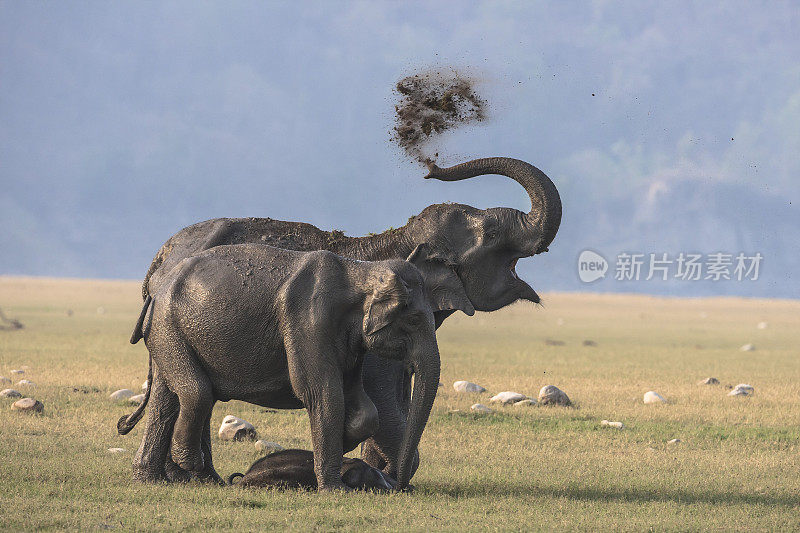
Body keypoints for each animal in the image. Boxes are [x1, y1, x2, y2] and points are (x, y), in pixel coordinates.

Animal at [117, 243, 468, 488]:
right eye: (413, 320)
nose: (399, 485)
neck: (361, 271)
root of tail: (155, 292)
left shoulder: (350, 341)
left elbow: (361, 405)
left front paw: (343, 443)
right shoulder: (308, 321)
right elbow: (321, 393)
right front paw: (334, 489)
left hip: (169, 333)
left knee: (167, 397)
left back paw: (161, 480)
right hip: (170, 329)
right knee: (198, 393)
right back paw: (189, 466)